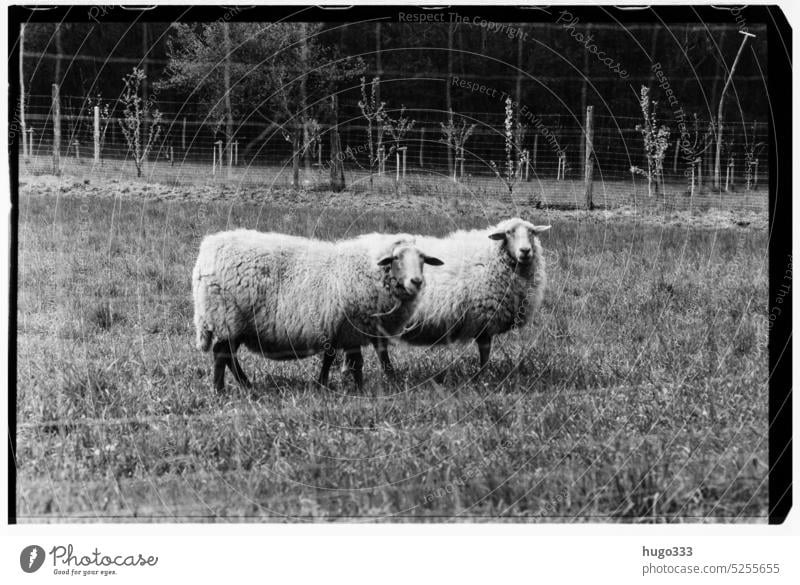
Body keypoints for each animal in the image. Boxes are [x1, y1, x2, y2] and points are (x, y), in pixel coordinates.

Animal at [192, 228, 444, 388]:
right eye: (396, 258)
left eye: (423, 259)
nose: (417, 281)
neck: (370, 269)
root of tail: (206, 251)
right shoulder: (353, 327)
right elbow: (357, 363)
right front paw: (362, 388)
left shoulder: (341, 328)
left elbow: (333, 358)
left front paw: (323, 384)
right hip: (228, 317)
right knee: (221, 354)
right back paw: (221, 390)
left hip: (235, 324)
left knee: (228, 356)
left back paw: (245, 386)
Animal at [368, 216, 552, 374]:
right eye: (508, 232)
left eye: (532, 232)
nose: (525, 251)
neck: (490, 258)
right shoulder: (484, 316)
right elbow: (485, 350)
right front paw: (483, 375)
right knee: (381, 349)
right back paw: (390, 375)